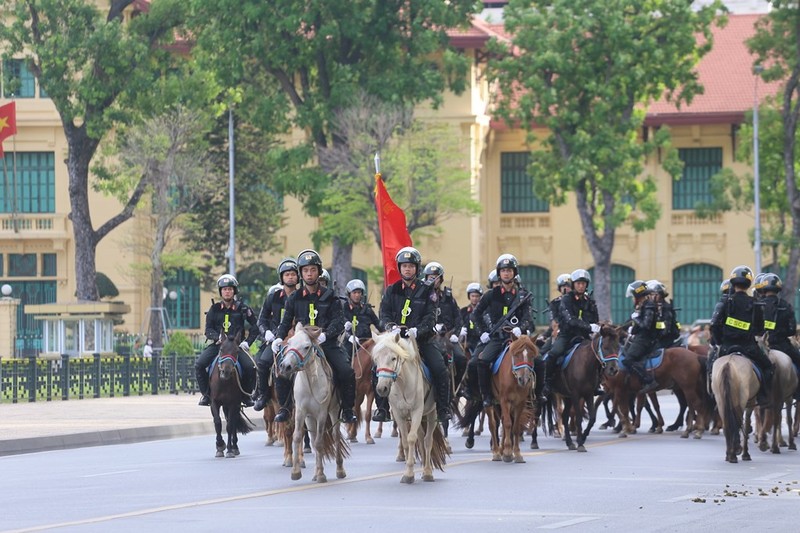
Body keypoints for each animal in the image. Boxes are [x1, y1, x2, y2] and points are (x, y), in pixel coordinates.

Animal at [278, 322, 346, 480]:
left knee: (335, 436)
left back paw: (339, 470)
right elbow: (298, 436)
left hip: (334, 411)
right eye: (289, 343)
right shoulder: (300, 411)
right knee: (314, 437)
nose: (285, 366)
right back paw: (315, 472)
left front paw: (321, 475)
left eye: (306, 346)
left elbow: (320, 442)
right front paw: (296, 471)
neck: (311, 381)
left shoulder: (322, 413)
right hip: (309, 417)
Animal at [370, 324, 450, 482]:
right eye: (376, 359)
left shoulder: (417, 411)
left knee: (427, 440)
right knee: (421, 437)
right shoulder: (399, 414)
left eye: (394, 358)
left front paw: (409, 474)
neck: (403, 383)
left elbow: (412, 439)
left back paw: (427, 472)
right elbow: (406, 441)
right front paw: (408, 470)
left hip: (431, 413)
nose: (382, 389)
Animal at [544, 322, 620, 450]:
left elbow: (592, 418)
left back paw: (569, 442)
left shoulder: (588, 394)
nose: (613, 370)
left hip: (567, 397)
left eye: (618, 347)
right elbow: (579, 417)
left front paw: (583, 437)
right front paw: (580, 442)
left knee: (565, 416)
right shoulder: (576, 395)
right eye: (605, 347)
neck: (585, 364)